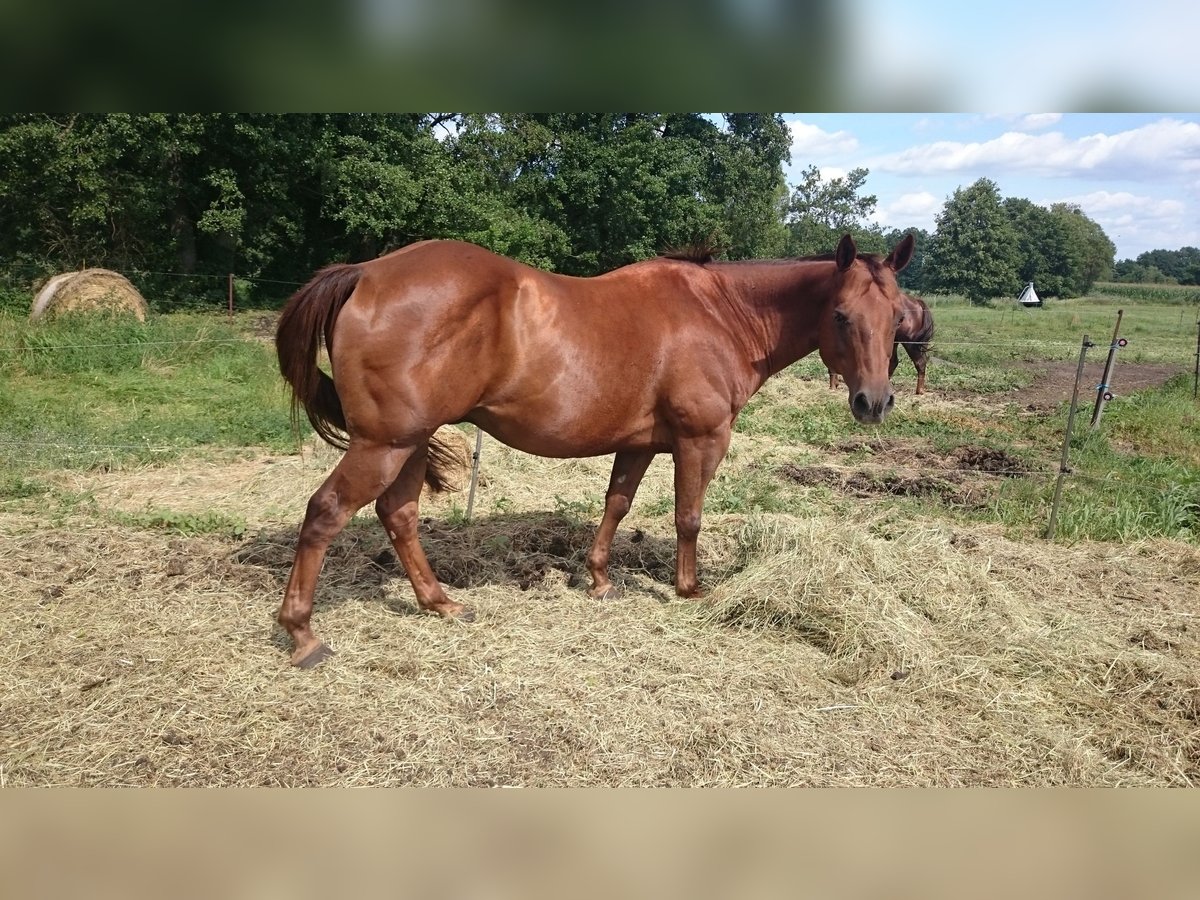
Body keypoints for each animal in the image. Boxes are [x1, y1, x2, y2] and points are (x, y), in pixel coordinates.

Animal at [274, 234, 907, 672]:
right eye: (842, 316)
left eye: (897, 317)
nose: (874, 403)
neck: (720, 313)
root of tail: (366, 272)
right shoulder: (701, 440)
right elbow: (688, 516)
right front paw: (689, 589)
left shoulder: (638, 445)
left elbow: (616, 505)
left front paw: (600, 580)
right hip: (384, 444)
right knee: (326, 513)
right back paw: (302, 635)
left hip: (406, 444)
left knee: (398, 515)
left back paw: (440, 603)